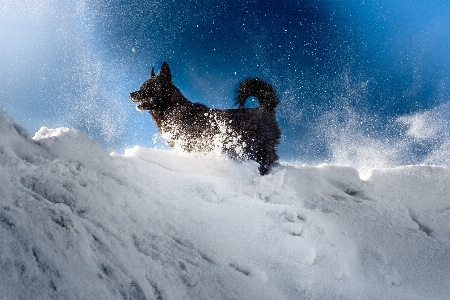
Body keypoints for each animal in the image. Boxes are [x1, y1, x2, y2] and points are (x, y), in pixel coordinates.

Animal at [128, 62, 280, 175]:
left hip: (260, 149)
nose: (131, 94)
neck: (171, 107)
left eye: (149, 87)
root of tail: (265, 109)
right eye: (142, 86)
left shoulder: (189, 144)